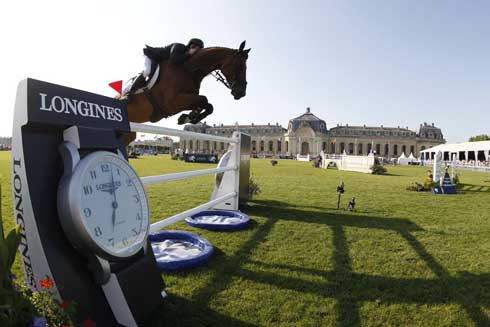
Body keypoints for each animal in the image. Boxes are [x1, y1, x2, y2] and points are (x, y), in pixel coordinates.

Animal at [122, 40, 253, 145]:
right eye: (240, 66)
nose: (241, 92)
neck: (188, 70)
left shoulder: (188, 98)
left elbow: (208, 105)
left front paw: (189, 117)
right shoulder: (172, 102)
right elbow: (204, 99)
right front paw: (188, 118)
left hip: (128, 134)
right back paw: (126, 97)